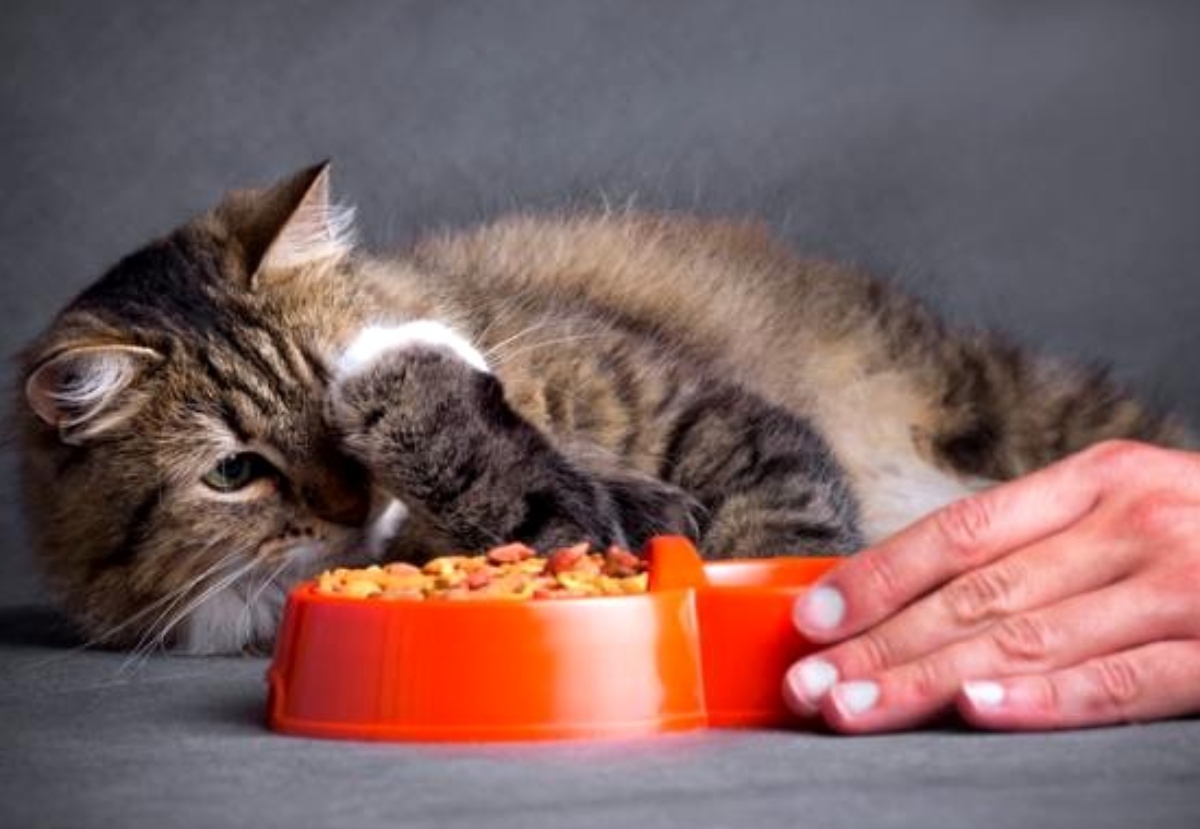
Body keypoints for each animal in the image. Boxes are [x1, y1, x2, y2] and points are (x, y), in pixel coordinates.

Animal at [11, 161, 1190, 657]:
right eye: (234, 471)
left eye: (323, 384)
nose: (350, 500)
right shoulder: (588, 521)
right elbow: (537, 492)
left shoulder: (712, 416)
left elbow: (775, 539)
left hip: (1000, 399)